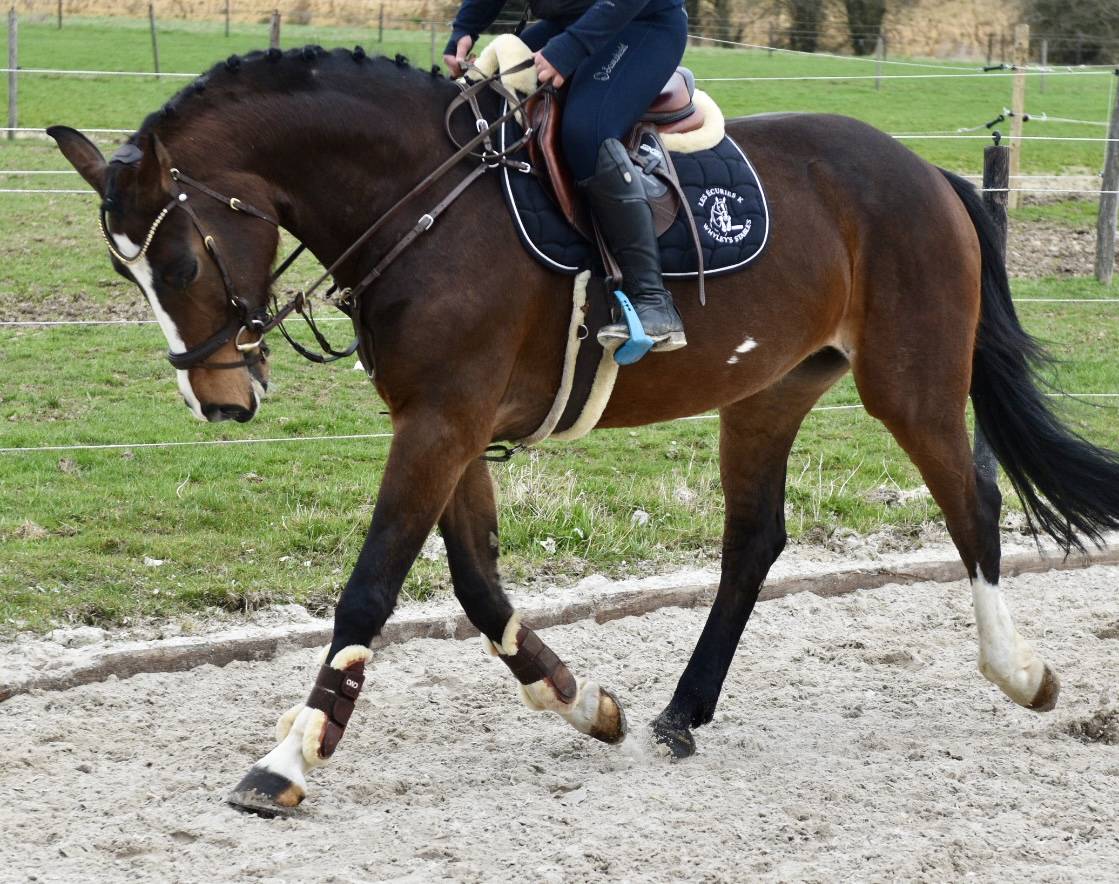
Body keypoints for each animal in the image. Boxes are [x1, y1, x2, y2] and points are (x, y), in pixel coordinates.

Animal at [50, 47, 1119, 816]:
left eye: (179, 262)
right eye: (123, 273)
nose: (219, 400)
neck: (423, 207)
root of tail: (924, 171)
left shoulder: (440, 422)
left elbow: (370, 590)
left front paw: (287, 759)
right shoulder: (444, 422)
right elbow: (477, 587)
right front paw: (580, 702)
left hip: (911, 384)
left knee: (972, 503)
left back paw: (1020, 674)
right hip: (767, 393)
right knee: (752, 541)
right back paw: (680, 714)